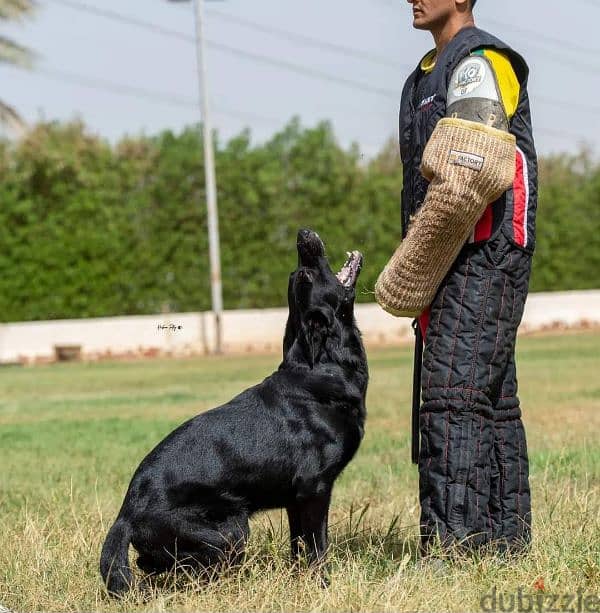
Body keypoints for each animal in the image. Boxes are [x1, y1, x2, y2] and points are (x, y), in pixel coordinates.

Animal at [101, 228, 368, 592]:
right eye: (305, 274)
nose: (302, 235)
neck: (324, 366)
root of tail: (126, 514)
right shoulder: (314, 489)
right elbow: (316, 547)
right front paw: (322, 585)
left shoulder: (294, 500)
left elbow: (298, 547)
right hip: (232, 530)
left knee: (150, 563)